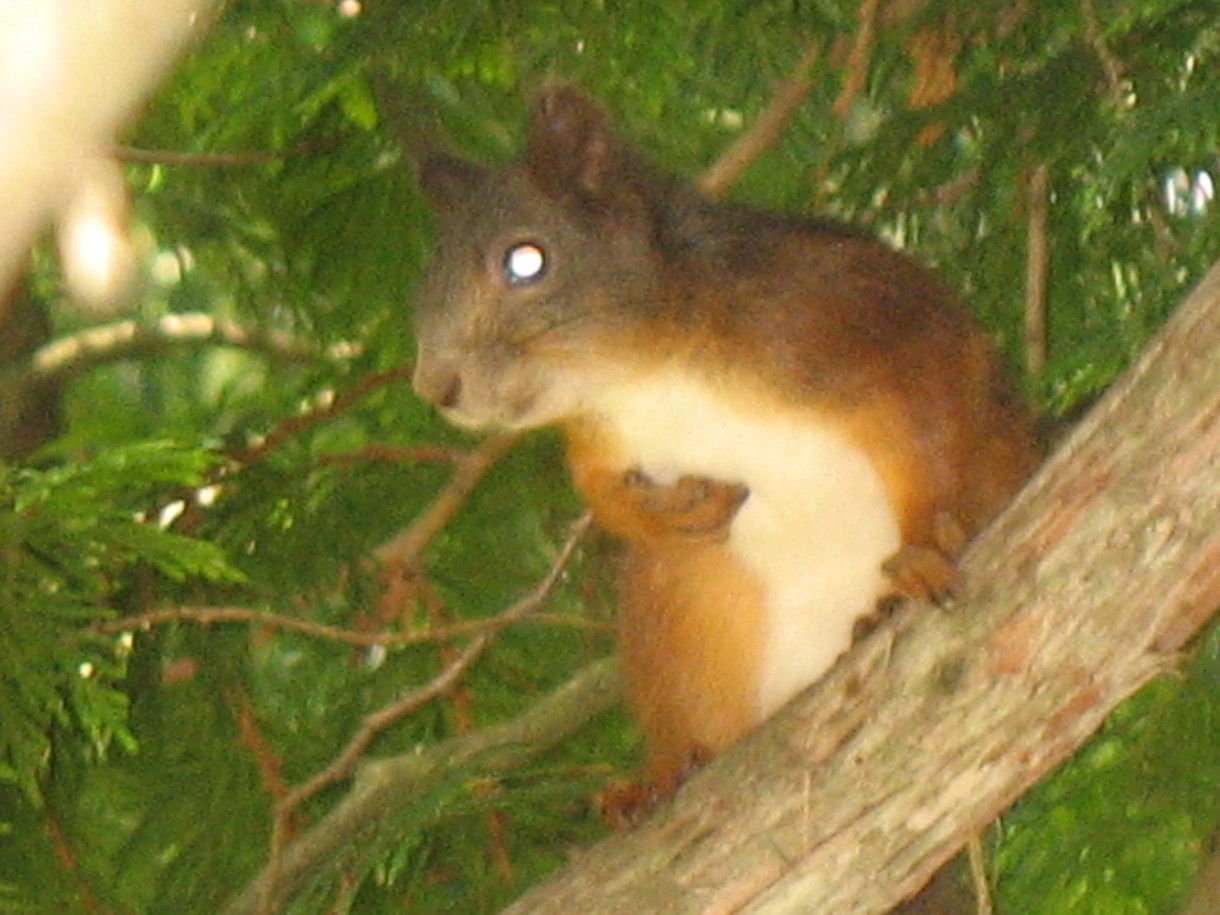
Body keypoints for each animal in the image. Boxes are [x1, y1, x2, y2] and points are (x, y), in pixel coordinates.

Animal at [412, 87, 1039, 814]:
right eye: (426, 279)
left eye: (526, 260)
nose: (435, 386)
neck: (645, 373)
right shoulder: (601, 439)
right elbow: (597, 489)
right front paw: (657, 512)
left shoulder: (847, 312)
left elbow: (932, 409)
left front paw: (926, 544)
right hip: (681, 610)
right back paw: (659, 774)